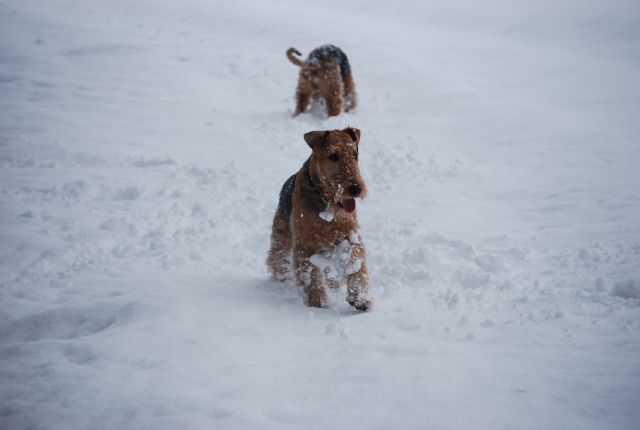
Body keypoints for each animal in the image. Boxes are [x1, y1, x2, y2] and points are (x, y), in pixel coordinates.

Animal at [266, 126, 376, 310]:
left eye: (355, 155)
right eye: (333, 156)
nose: (356, 189)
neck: (327, 206)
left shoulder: (349, 235)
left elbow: (355, 263)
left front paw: (360, 299)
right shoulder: (305, 245)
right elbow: (311, 278)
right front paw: (319, 304)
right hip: (282, 234)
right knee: (277, 257)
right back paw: (281, 277)